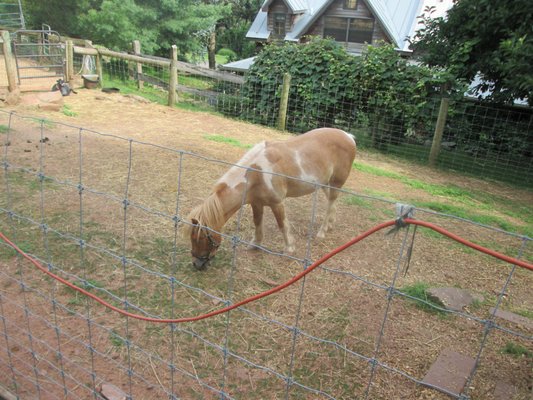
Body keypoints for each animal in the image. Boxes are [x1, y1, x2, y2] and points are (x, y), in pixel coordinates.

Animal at [185, 127, 356, 268]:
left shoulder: (277, 203)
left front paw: (289, 249)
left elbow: (282, 225)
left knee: (331, 202)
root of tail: (348, 136)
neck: (256, 174)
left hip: (335, 183)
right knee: (331, 203)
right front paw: (255, 244)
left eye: (200, 238)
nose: (196, 264)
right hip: (325, 184)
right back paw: (330, 225)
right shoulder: (256, 203)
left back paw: (322, 232)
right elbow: (257, 222)